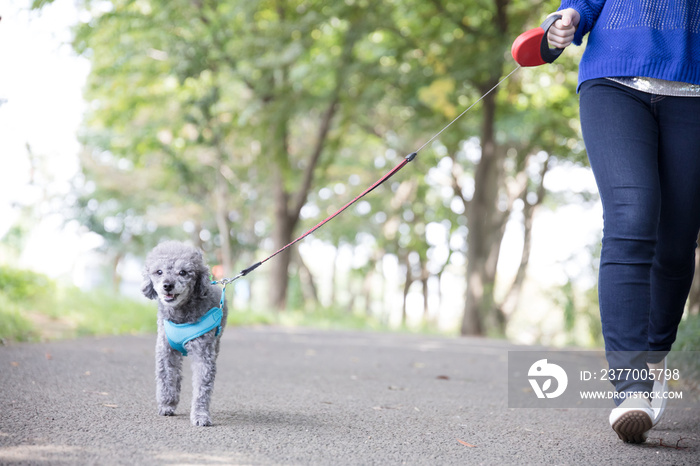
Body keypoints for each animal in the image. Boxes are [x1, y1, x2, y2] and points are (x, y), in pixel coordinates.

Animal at [141, 242, 228, 428]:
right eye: (159, 272)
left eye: (183, 272)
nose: (167, 285)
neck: (180, 315)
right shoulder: (166, 350)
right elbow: (166, 378)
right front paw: (167, 404)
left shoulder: (203, 354)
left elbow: (202, 388)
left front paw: (200, 415)